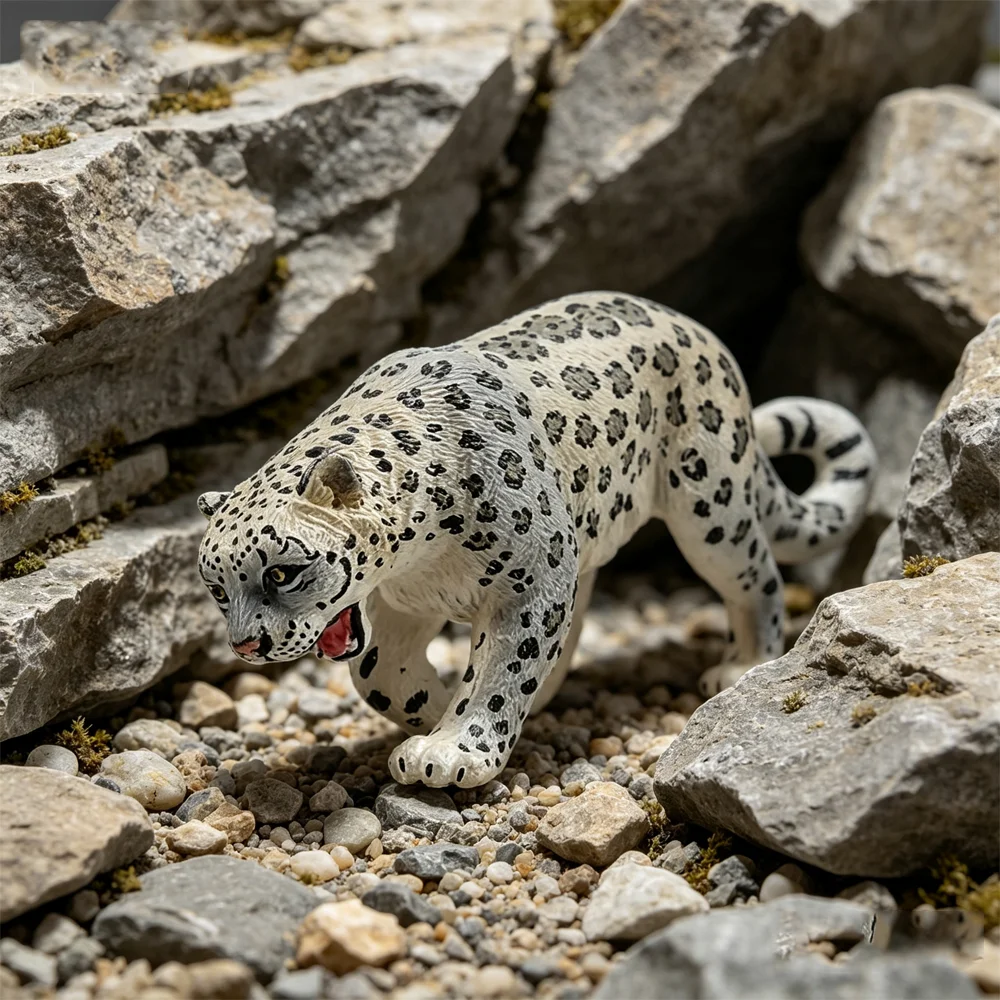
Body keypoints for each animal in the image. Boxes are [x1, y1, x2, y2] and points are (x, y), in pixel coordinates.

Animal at [197, 291, 876, 788]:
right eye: (216, 588)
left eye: (280, 571)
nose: (247, 646)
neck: (419, 561)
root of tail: (696, 329)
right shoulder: (406, 601)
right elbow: (377, 675)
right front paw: (431, 711)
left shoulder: (527, 581)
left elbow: (502, 667)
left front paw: (451, 750)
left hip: (710, 504)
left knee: (757, 573)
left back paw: (745, 664)